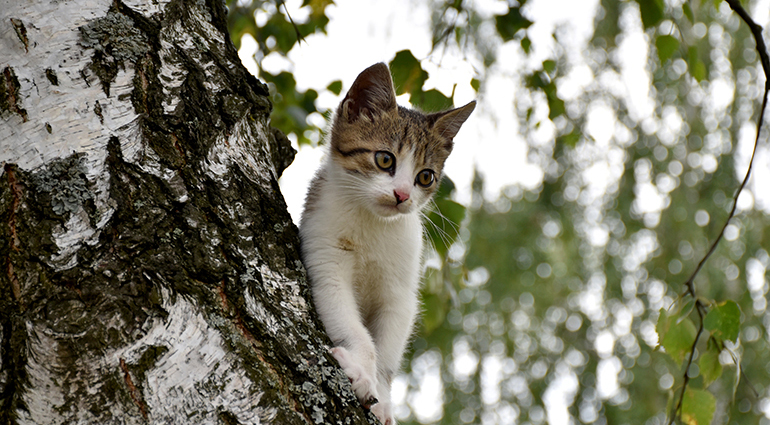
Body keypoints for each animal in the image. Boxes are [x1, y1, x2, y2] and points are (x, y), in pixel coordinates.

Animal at [296, 61, 472, 422]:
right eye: (385, 159)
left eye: (425, 177)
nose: (402, 195)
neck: (373, 224)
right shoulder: (325, 256)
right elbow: (352, 325)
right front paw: (361, 371)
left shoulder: (400, 293)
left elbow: (389, 352)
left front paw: (382, 395)